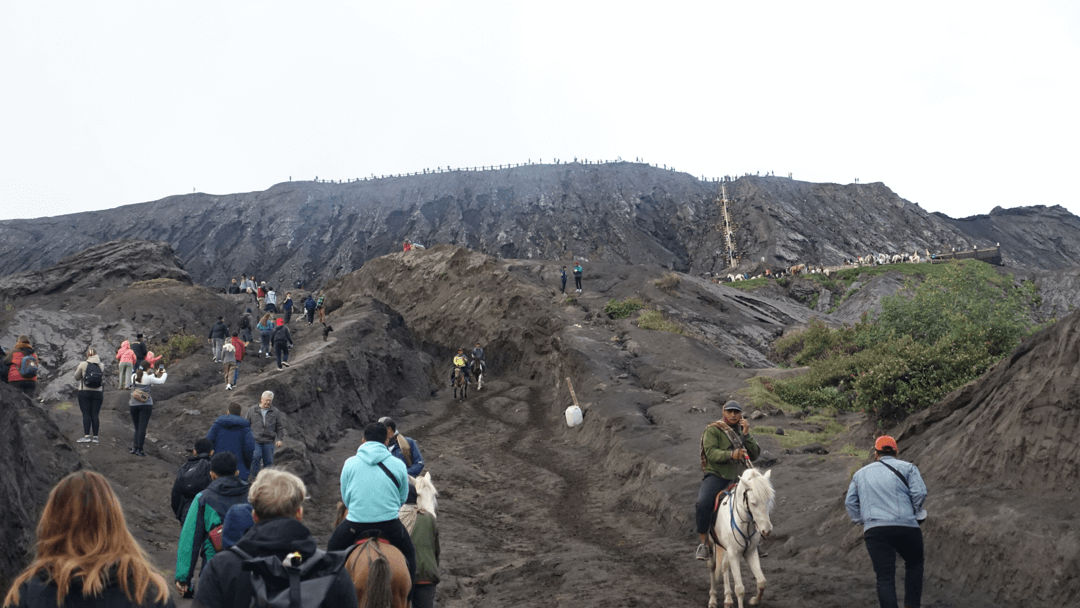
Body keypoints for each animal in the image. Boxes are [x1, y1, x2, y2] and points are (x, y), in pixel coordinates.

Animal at [708, 468, 777, 604]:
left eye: (768, 500)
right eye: (753, 503)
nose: (766, 531)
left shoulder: (750, 552)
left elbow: (762, 582)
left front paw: (754, 600)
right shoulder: (734, 554)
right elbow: (740, 589)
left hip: (725, 549)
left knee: (724, 566)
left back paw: (728, 599)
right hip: (711, 546)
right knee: (713, 566)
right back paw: (712, 599)